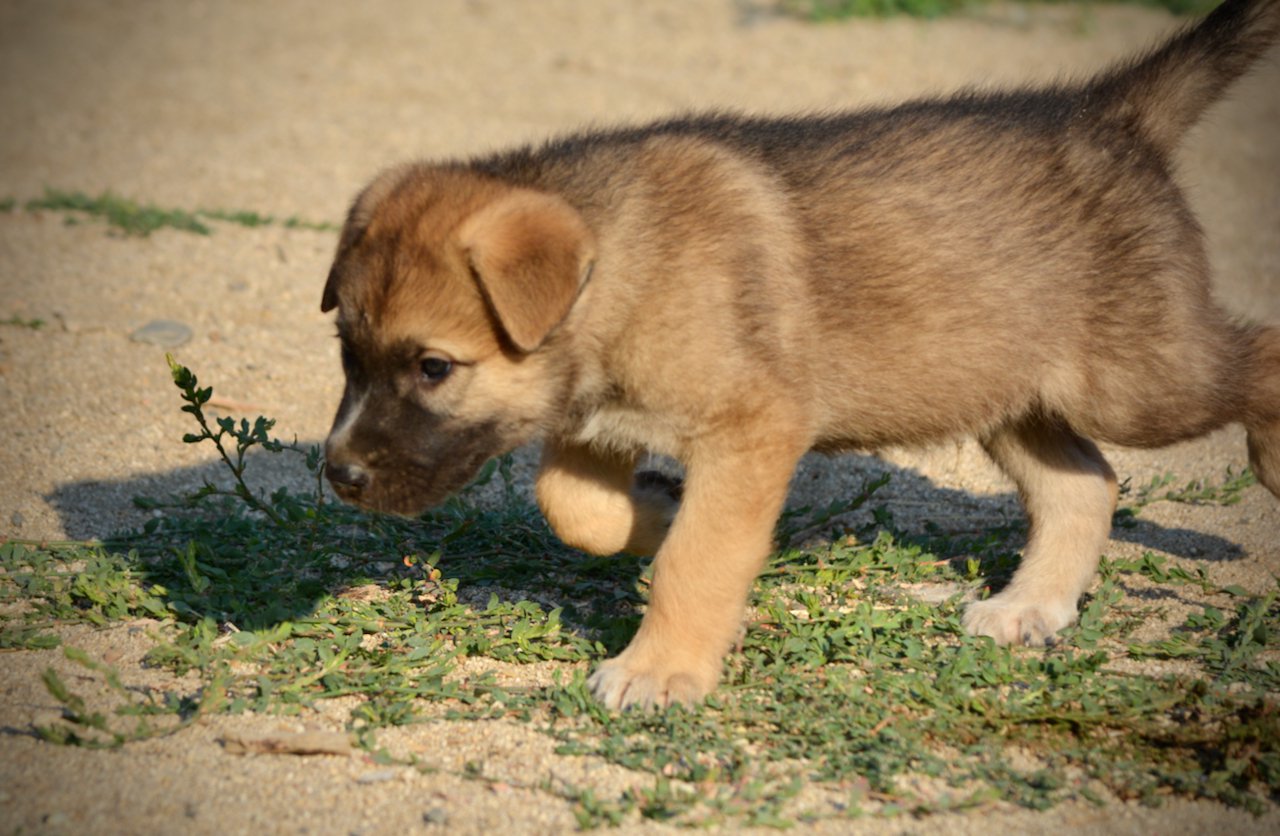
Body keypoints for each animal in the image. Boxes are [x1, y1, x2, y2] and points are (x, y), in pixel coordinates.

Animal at [320, 0, 1280, 706]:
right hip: (1003, 389)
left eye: (433, 367)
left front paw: (658, 667)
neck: (621, 262)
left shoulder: (752, 426)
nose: (338, 476)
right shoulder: (598, 425)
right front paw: (660, 513)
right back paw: (1028, 608)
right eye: (347, 355)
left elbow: (697, 559)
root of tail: (1107, 117)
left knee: (1258, 356)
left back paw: (1270, 459)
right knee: (1086, 486)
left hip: (1135, 381)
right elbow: (577, 509)